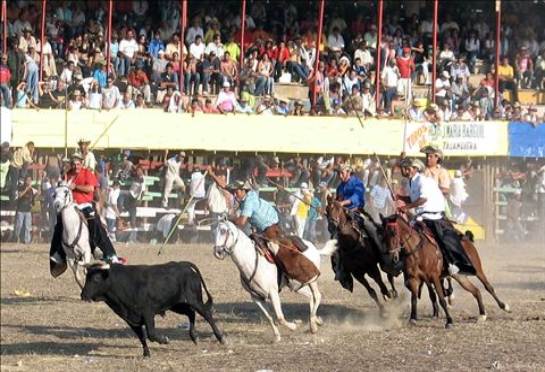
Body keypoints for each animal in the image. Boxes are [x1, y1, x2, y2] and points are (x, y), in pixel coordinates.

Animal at [81, 262, 225, 358]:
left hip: (195, 300)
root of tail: (183, 265)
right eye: (86, 278)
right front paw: (146, 354)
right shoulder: (131, 320)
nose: (83, 295)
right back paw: (194, 337)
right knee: (191, 313)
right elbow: (141, 337)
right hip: (177, 305)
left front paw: (164, 340)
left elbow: (150, 334)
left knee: (207, 314)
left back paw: (220, 338)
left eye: (96, 278)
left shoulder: (148, 313)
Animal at [378, 214, 510, 326]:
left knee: (488, 287)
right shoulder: (413, 279)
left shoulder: (434, 277)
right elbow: (414, 299)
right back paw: (482, 314)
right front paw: (413, 318)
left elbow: (441, 298)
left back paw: (504, 306)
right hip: (460, 276)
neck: (417, 252)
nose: (391, 257)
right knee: (476, 291)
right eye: (383, 235)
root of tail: (465, 239)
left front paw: (449, 321)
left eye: (393, 233)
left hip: (477, 269)